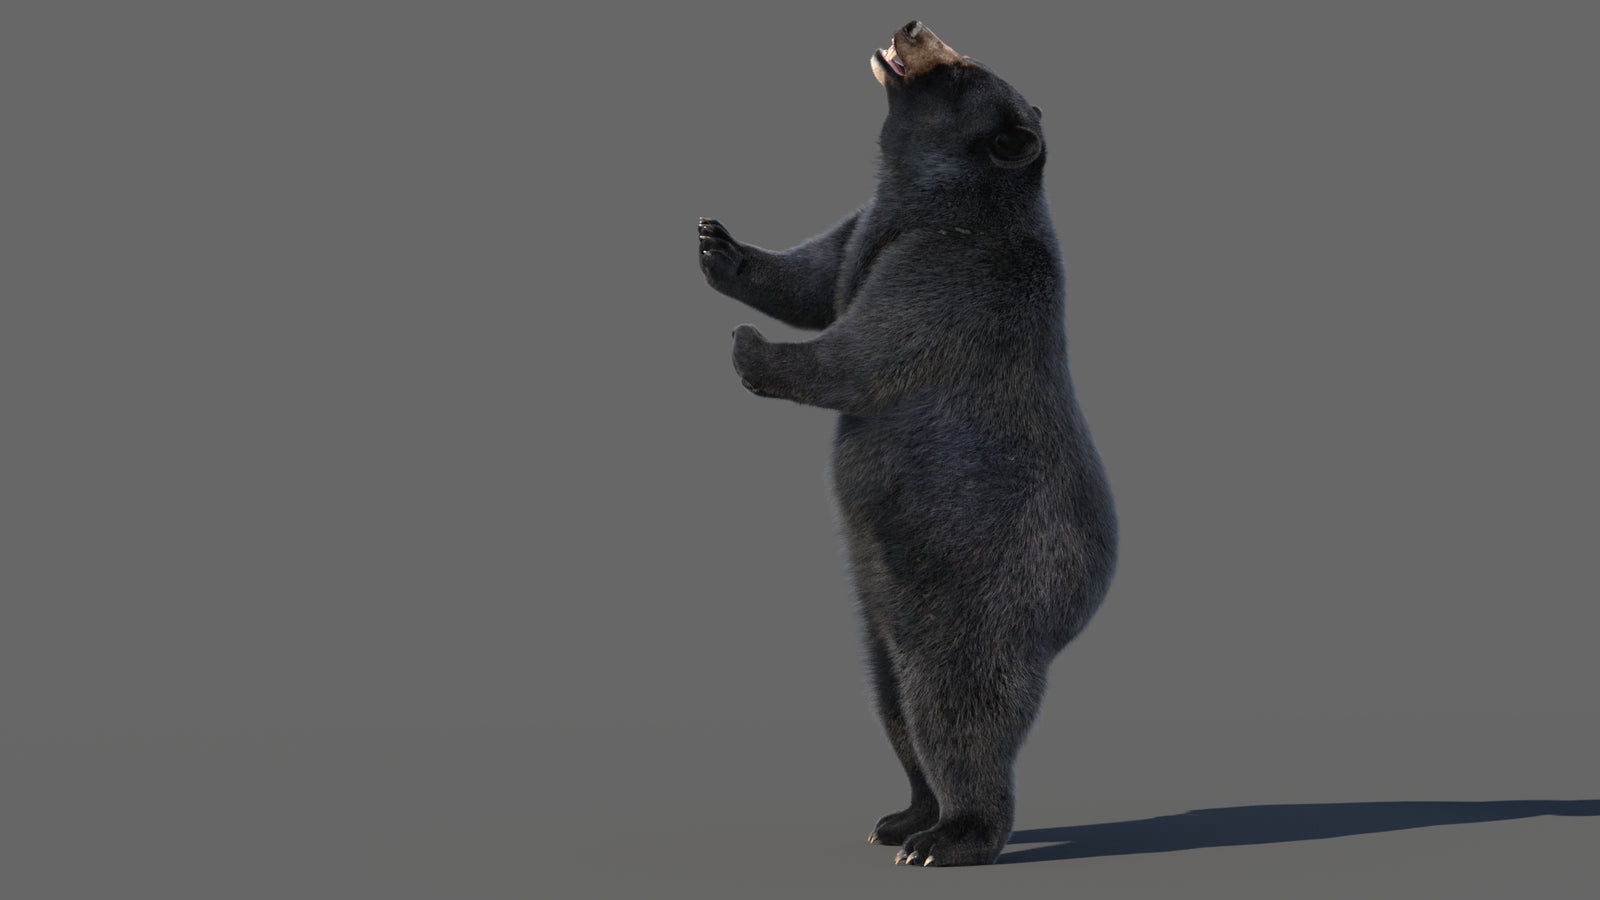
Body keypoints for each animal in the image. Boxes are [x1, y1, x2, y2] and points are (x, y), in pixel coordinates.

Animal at [696, 21, 1117, 868]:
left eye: (961, 69)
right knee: (891, 702)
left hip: (983, 595)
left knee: (956, 710)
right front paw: (719, 246)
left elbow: (867, 350)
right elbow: (815, 277)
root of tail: (1082, 604)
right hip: (882, 610)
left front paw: (751, 347)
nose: (911, 26)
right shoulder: (867, 228)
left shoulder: (951, 271)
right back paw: (902, 816)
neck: (927, 200)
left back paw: (952, 835)